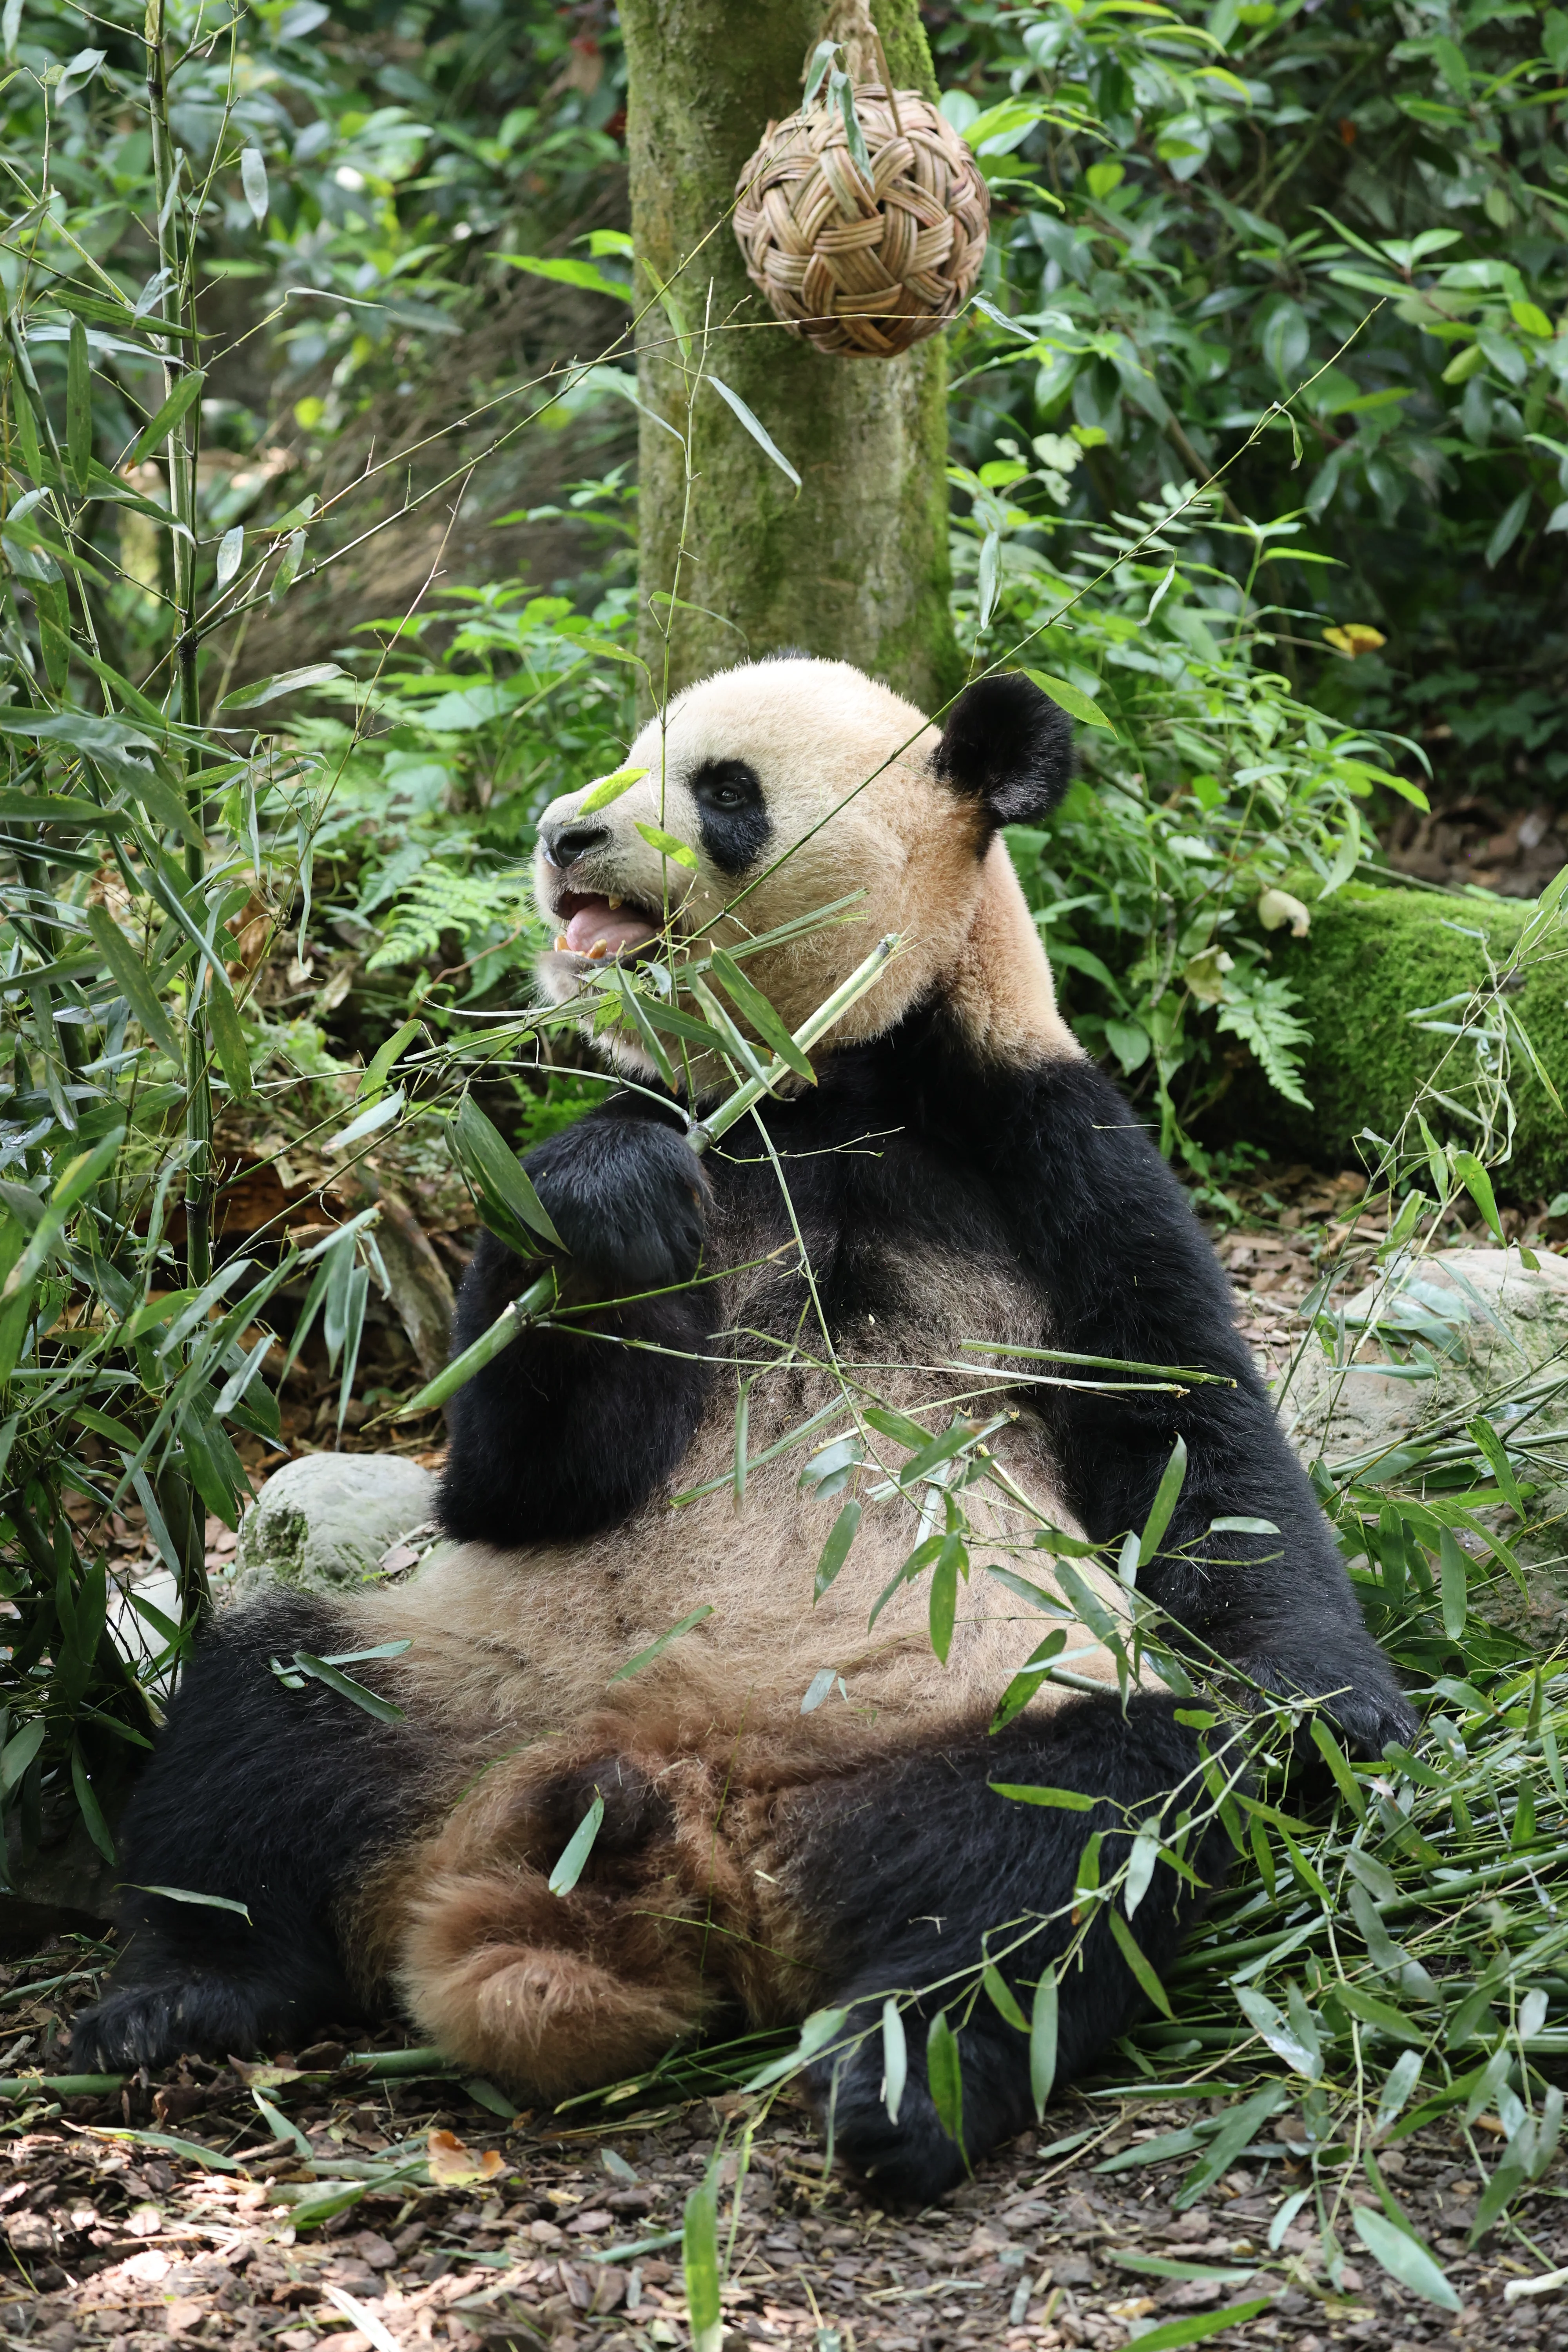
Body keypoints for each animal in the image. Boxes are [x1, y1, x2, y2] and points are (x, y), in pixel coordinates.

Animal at [74, 658, 1412, 2200]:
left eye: (723, 790)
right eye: (621, 755)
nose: (563, 835)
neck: (814, 1090)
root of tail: (681, 1809)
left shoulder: (1044, 1138)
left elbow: (1187, 1424)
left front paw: (1340, 1714)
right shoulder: (634, 1145)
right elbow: (510, 1480)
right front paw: (608, 1208)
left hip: (971, 1704)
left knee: (1081, 1838)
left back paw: (906, 2081)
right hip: (452, 1675)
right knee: (260, 1717)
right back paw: (174, 1994)